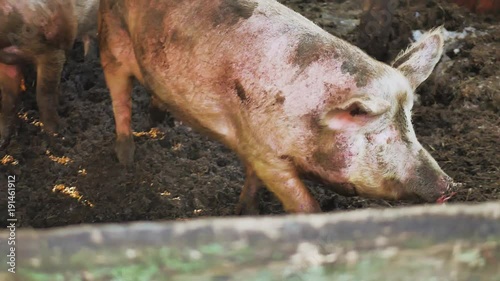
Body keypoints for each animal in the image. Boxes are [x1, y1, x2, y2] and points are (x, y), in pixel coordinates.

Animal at [0, 0, 99, 149]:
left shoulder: (51, 52)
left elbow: (45, 94)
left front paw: (58, 134)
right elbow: (8, 99)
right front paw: (2, 140)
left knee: (93, 36)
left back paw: (90, 61)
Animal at [97, 0, 458, 213]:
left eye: (411, 123)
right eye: (377, 135)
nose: (450, 186)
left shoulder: (251, 144)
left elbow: (252, 180)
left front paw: (246, 212)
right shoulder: (266, 153)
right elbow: (303, 203)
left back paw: (159, 119)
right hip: (111, 40)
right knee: (119, 97)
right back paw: (126, 158)